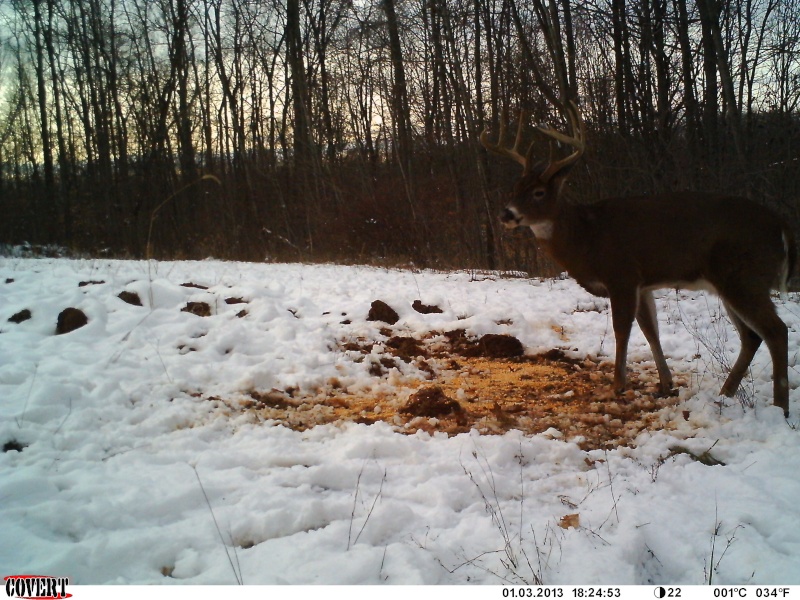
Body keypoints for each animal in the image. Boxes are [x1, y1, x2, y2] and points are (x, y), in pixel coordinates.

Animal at [482, 101, 792, 414]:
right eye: (514, 188)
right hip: (731, 283)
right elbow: (650, 330)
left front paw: (618, 385)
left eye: (538, 192)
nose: (506, 214)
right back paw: (725, 393)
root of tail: (781, 225)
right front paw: (666, 384)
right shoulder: (643, 284)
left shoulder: (622, 275)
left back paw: (780, 407)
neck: (585, 238)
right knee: (752, 336)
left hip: (744, 276)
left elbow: (622, 330)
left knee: (776, 331)